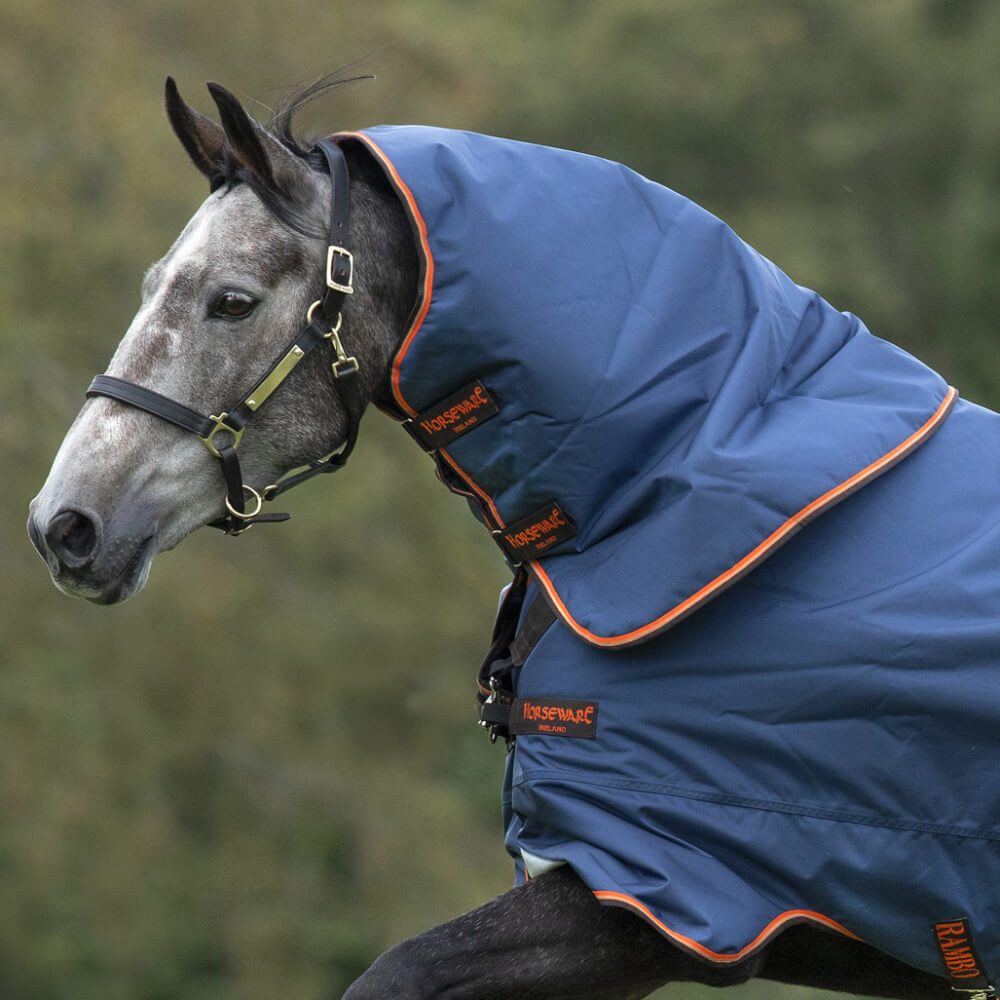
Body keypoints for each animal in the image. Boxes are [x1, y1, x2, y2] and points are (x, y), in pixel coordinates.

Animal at [28, 77, 995, 1000]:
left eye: (231, 302)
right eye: (154, 284)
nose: (62, 525)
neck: (661, 501)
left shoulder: (650, 901)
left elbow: (395, 973)